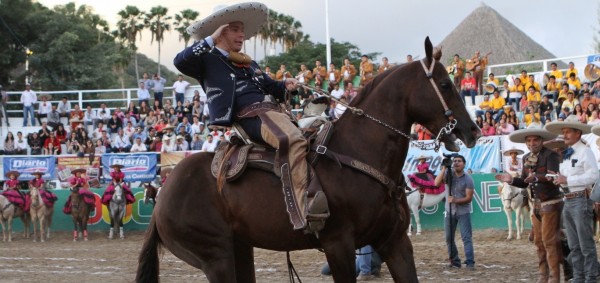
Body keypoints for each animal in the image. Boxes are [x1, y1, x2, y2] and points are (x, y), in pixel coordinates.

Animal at [137, 37, 482, 283]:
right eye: (445, 84)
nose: (472, 130)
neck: (359, 152)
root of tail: (163, 194)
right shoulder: (338, 246)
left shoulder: (394, 241)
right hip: (216, 257)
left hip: (239, 248)